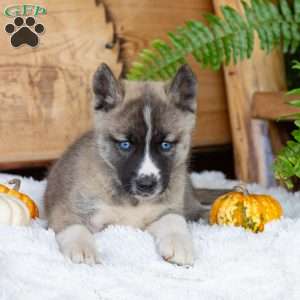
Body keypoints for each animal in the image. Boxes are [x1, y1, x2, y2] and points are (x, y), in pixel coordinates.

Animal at [44, 62, 204, 264]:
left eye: (166, 145)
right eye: (125, 144)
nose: (146, 184)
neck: (132, 201)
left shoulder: (166, 210)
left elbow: (174, 220)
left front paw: (179, 244)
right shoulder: (66, 211)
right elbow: (74, 227)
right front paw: (83, 249)